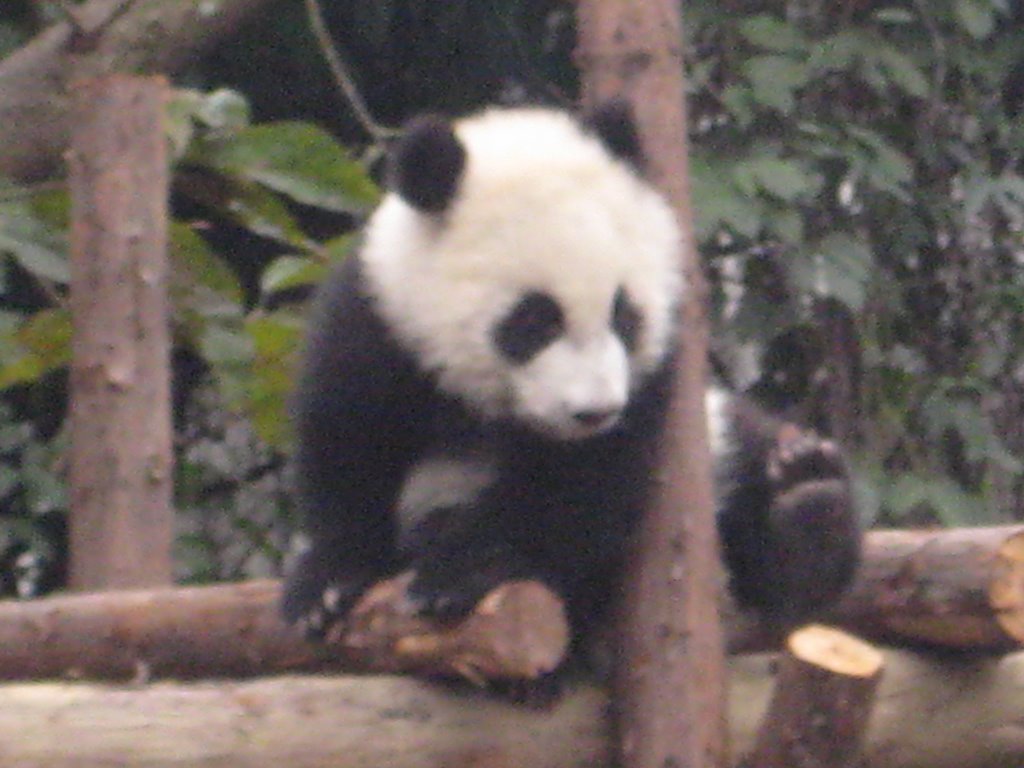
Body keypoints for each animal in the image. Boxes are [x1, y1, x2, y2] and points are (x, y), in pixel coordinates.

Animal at [278, 102, 856, 663]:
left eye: (624, 314)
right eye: (535, 320)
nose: (594, 412)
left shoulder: (653, 381)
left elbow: (583, 488)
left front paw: (460, 573)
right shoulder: (381, 322)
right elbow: (348, 443)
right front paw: (326, 585)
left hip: (715, 443)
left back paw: (807, 502)